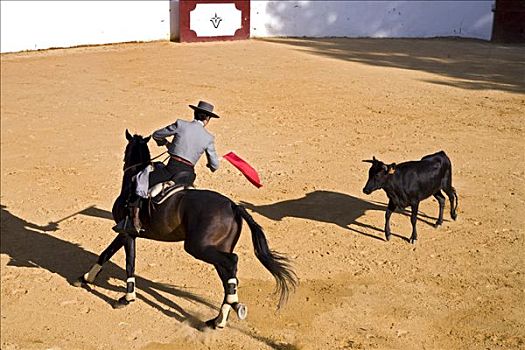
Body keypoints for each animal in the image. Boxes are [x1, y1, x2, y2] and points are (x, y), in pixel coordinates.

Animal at [74, 131, 296, 328]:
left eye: (127, 149)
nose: (124, 163)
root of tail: (233, 205)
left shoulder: (128, 232)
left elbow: (129, 263)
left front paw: (126, 297)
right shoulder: (125, 232)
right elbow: (106, 253)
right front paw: (85, 278)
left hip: (198, 247)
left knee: (232, 262)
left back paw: (230, 309)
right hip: (216, 248)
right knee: (228, 275)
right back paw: (220, 318)